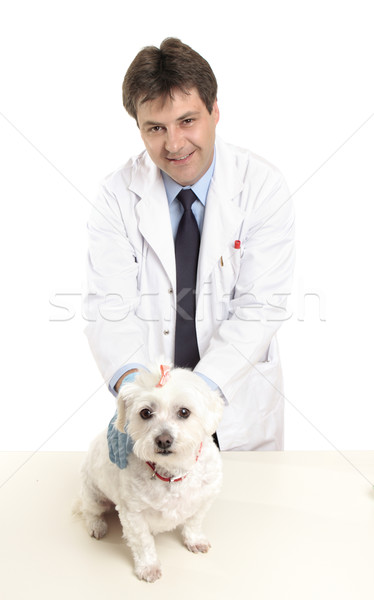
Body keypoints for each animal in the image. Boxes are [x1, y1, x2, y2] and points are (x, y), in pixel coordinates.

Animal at [75, 364, 224, 584]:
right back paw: (97, 525)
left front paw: (194, 540)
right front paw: (149, 567)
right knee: (90, 511)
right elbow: (143, 543)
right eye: (145, 413)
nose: (163, 440)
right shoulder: (133, 515)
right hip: (94, 495)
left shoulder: (205, 498)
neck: (172, 472)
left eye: (184, 412)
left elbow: (193, 522)